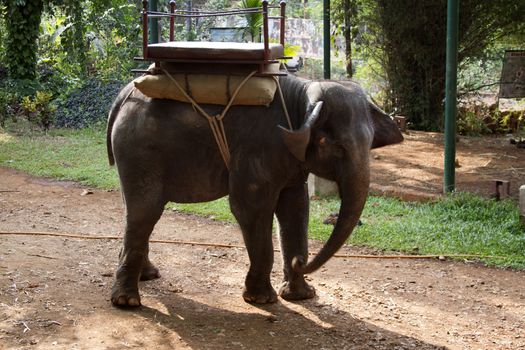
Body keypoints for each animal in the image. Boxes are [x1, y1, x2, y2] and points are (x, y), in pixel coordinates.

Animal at [105, 74, 402, 306]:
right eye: (335, 146)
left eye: (371, 142)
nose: (299, 260)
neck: (303, 94)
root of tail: (122, 94)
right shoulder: (260, 149)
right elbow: (250, 208)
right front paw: (262, 299)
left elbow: (296, 209)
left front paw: (301, 296)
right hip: (140, 149)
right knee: (145, 210)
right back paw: (127, 301)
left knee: (134, 208)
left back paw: (148, 276)